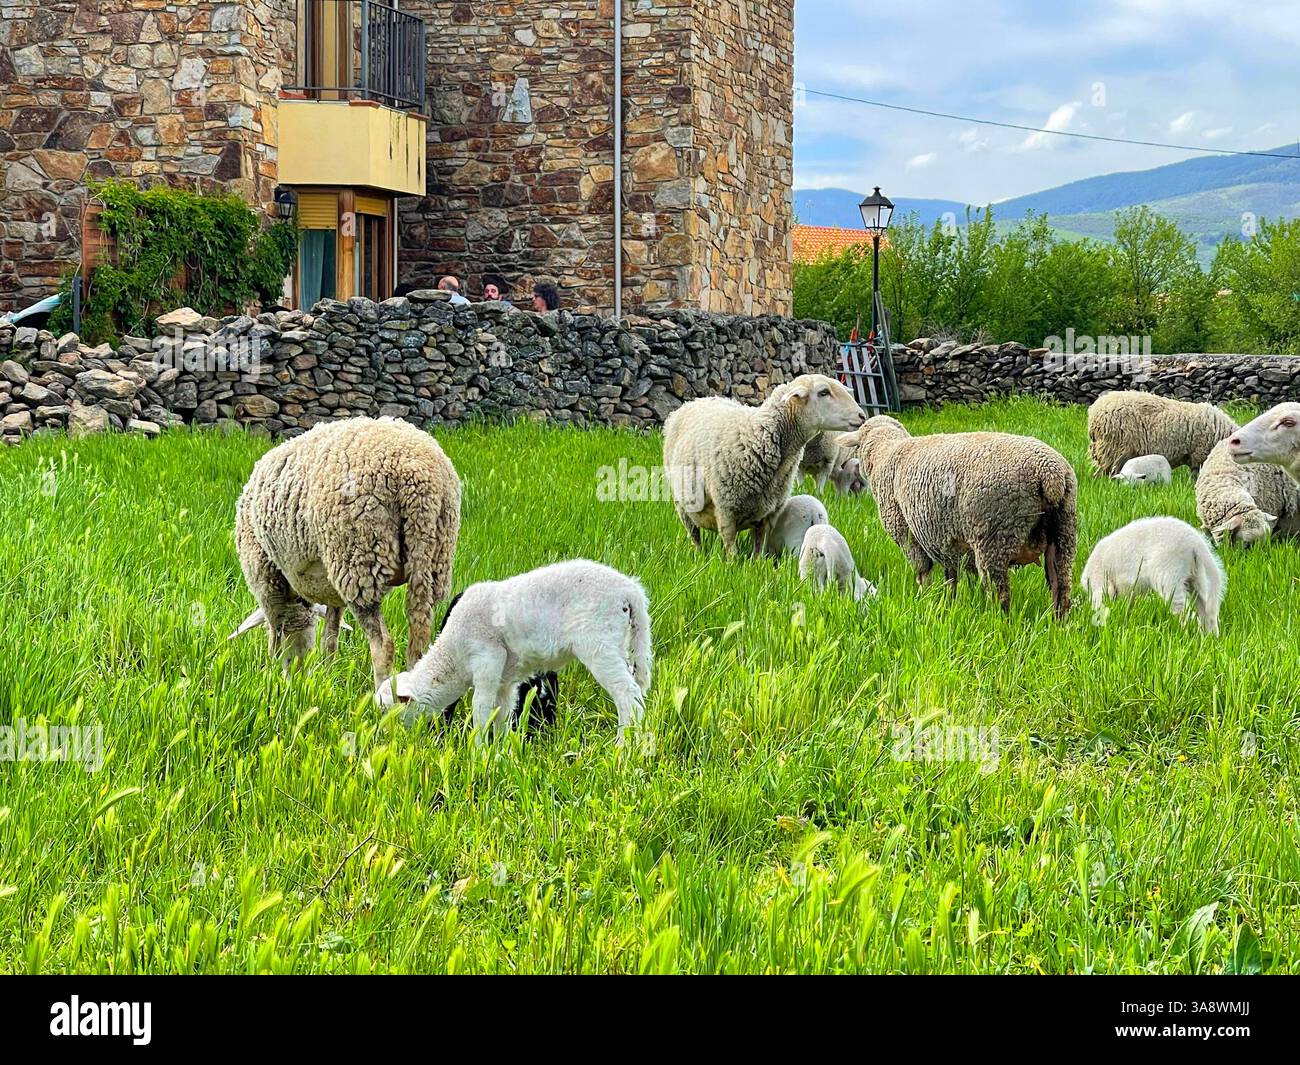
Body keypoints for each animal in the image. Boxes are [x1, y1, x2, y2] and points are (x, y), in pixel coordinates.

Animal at [235, 416, 461, 686]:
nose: (298, 678)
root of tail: (417, 473)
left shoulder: (266, 579)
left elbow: (275, 639)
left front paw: (275, 681)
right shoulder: (333, 594)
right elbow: (329, 638)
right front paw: (327, 680)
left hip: (359, 560)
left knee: (383, 645)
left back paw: (381, 695)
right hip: (431, 556)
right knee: (419, 637)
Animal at [375, 559, 651, 744]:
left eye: (389, 711)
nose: (384, 738)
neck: (452, 657)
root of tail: (630, 591)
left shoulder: (487, 660)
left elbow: (480, 709)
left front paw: (478, 753)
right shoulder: (505, 680)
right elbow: (502, 713)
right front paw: (501, 752)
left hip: (600, 644)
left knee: (627, 694)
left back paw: (625, 746)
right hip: (621, 644)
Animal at [662, 374, 866, 556]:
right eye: (824, 392)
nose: (862, 415)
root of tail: (695, 400)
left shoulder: (769, 513)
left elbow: (759, 548)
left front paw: (755, 564)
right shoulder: (726, 509)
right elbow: (731, 549)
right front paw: (732, 566)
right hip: (682, 505)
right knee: (694, 535)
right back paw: (700, 555)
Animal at [837, 416, 1077, 617]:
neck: (886, 453)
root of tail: (1050, 473)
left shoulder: (906, 534)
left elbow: (923, 573)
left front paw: (924, 600)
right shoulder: (942, 539)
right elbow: (950, 576)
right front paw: (948, 603)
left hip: (994, 535)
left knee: (1000, 594)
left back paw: (999, 623)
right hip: (1064, 531)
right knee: (1061, 588)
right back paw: (1058, 625)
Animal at [1081, 517, 1225, 635]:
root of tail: (1196, 543)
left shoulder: (1100, 582)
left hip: (1169, 576)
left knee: (1187, 615)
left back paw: (1186, 636)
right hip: (1196, 576)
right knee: (1207, 611)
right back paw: (1210, 638)